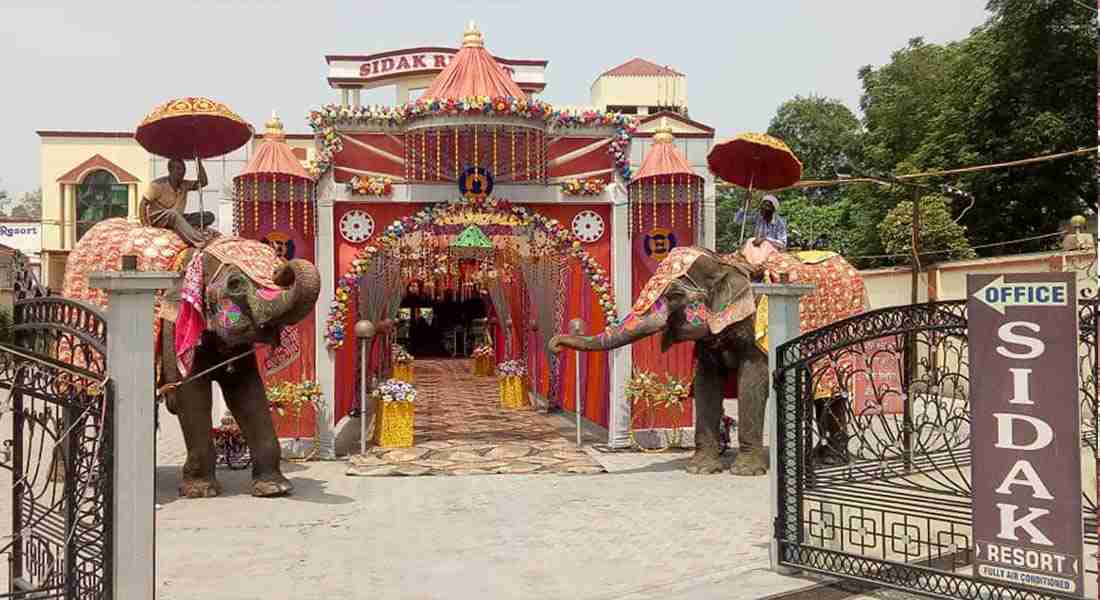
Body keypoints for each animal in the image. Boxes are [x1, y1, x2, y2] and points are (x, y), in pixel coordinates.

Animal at [62, 219, 321, 495]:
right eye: (235, 284)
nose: (282, 268)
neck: (200, 256)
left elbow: (247, 392)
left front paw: (275, 488)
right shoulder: (174, 328)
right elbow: (192, 394)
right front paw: (200, 490)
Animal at [550, 244, 866, 477]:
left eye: (674, 294)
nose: (554, 344)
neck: (723, 263)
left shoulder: (755, 330)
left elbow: (752, 381)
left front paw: (745, 472)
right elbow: (705, 381)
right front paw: (701, 469)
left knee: (833, 393)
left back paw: (829, 462)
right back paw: (824, 459)